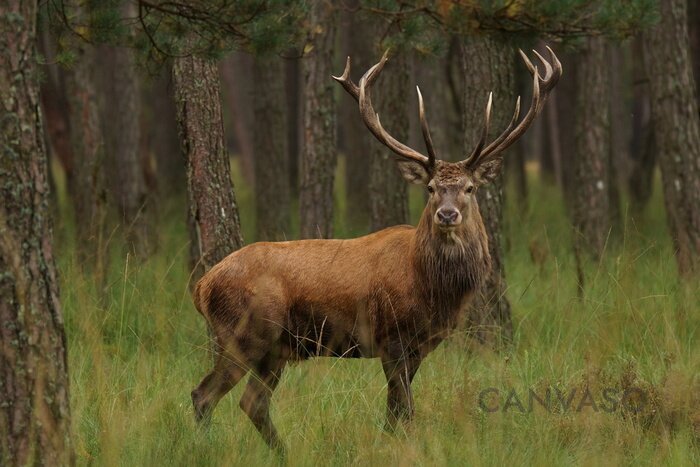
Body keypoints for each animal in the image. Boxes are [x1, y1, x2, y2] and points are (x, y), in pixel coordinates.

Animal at [189, 46, 560, 454]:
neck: (430, 287)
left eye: (469, 187)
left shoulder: (420, 345)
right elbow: (403, 409)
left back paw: (284, 454)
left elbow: (396, 411)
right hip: (245, 333)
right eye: (431, 188)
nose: (447, 214)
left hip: (276, 349)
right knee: (204, 394)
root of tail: (202, 286)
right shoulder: (392, 338)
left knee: (252, 402)